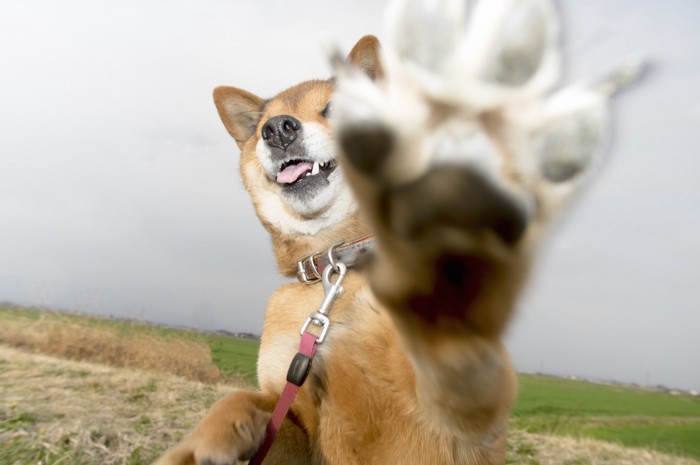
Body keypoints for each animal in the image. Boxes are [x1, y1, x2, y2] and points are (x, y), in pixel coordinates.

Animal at [156, 0, 644, 462]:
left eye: (335, 109)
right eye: (261, 127)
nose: (277, 130)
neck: (338, 267)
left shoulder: (461, 413)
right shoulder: (293, 411)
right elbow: (238, 400)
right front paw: (198, 443)